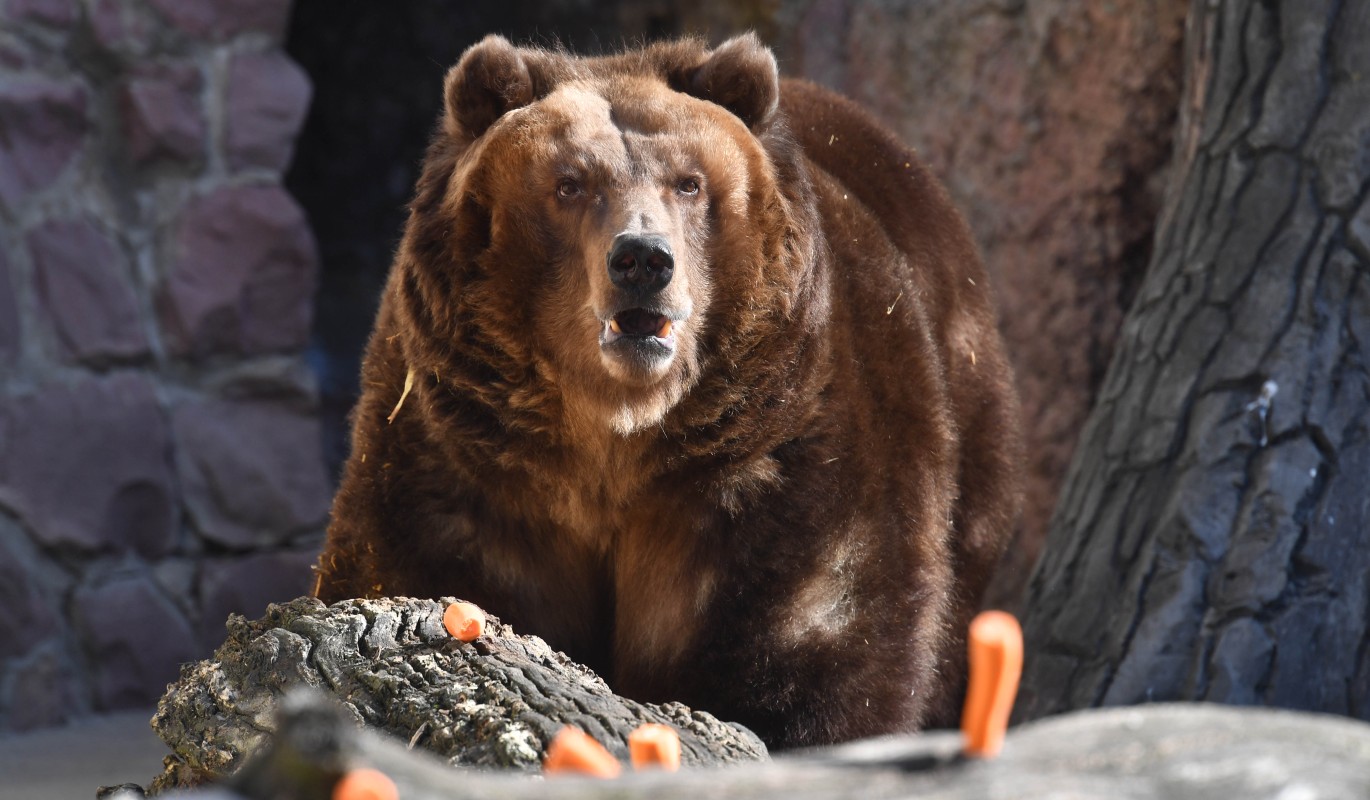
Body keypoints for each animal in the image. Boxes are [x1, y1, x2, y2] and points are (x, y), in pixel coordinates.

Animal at [313, 32, 1019, 750]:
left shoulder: (777, 464)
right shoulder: (465, 462)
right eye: (569, 183)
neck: (616, 437)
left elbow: (817, 643)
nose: (643, 260)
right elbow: (414, 567)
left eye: (689, 182)